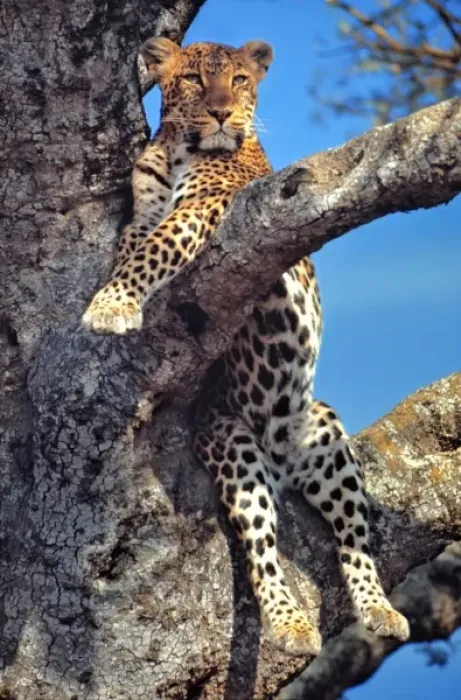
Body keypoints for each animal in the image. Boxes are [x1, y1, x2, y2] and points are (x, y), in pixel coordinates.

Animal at [82, 37, 410, 656]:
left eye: (238, 80)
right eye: (192, 79)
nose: (220, 113)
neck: (179, 148)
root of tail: (281, 459)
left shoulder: (205, 208)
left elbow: (155, 250)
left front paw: (109, 305)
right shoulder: (142, 214)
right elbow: (134, 245)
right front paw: (118, 296)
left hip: (327, 442)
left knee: (354, 543)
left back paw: (377, 610)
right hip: (233, 445)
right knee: (262, 553)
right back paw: (290, 622)